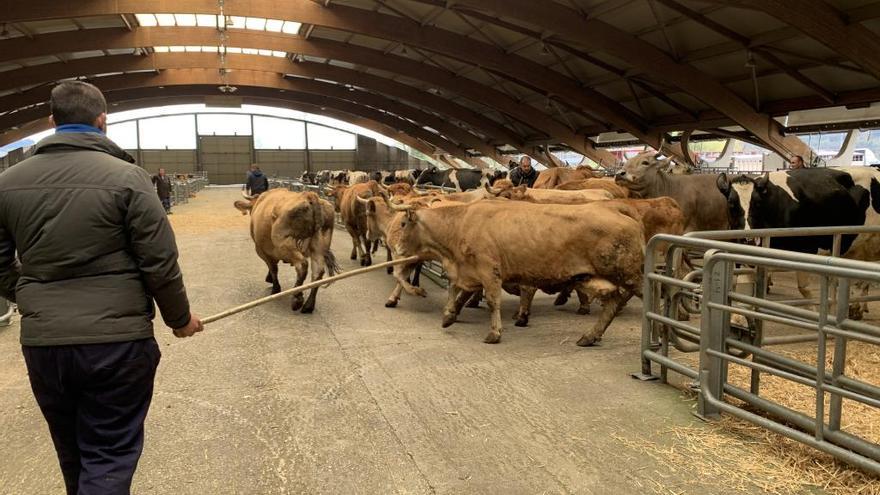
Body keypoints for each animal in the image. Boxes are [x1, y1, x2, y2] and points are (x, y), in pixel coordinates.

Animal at [388, 199, 644, 344]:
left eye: (403, 223)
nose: (397, 248)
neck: (460, 224)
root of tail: (615, 208)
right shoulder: (469, 271)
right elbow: (459, 292)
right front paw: (449, 316)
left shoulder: (489, 270)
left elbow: (492, 301)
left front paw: (494, 333)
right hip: (592, 277)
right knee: (613, 301)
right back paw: (590, 336)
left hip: (630, 275)